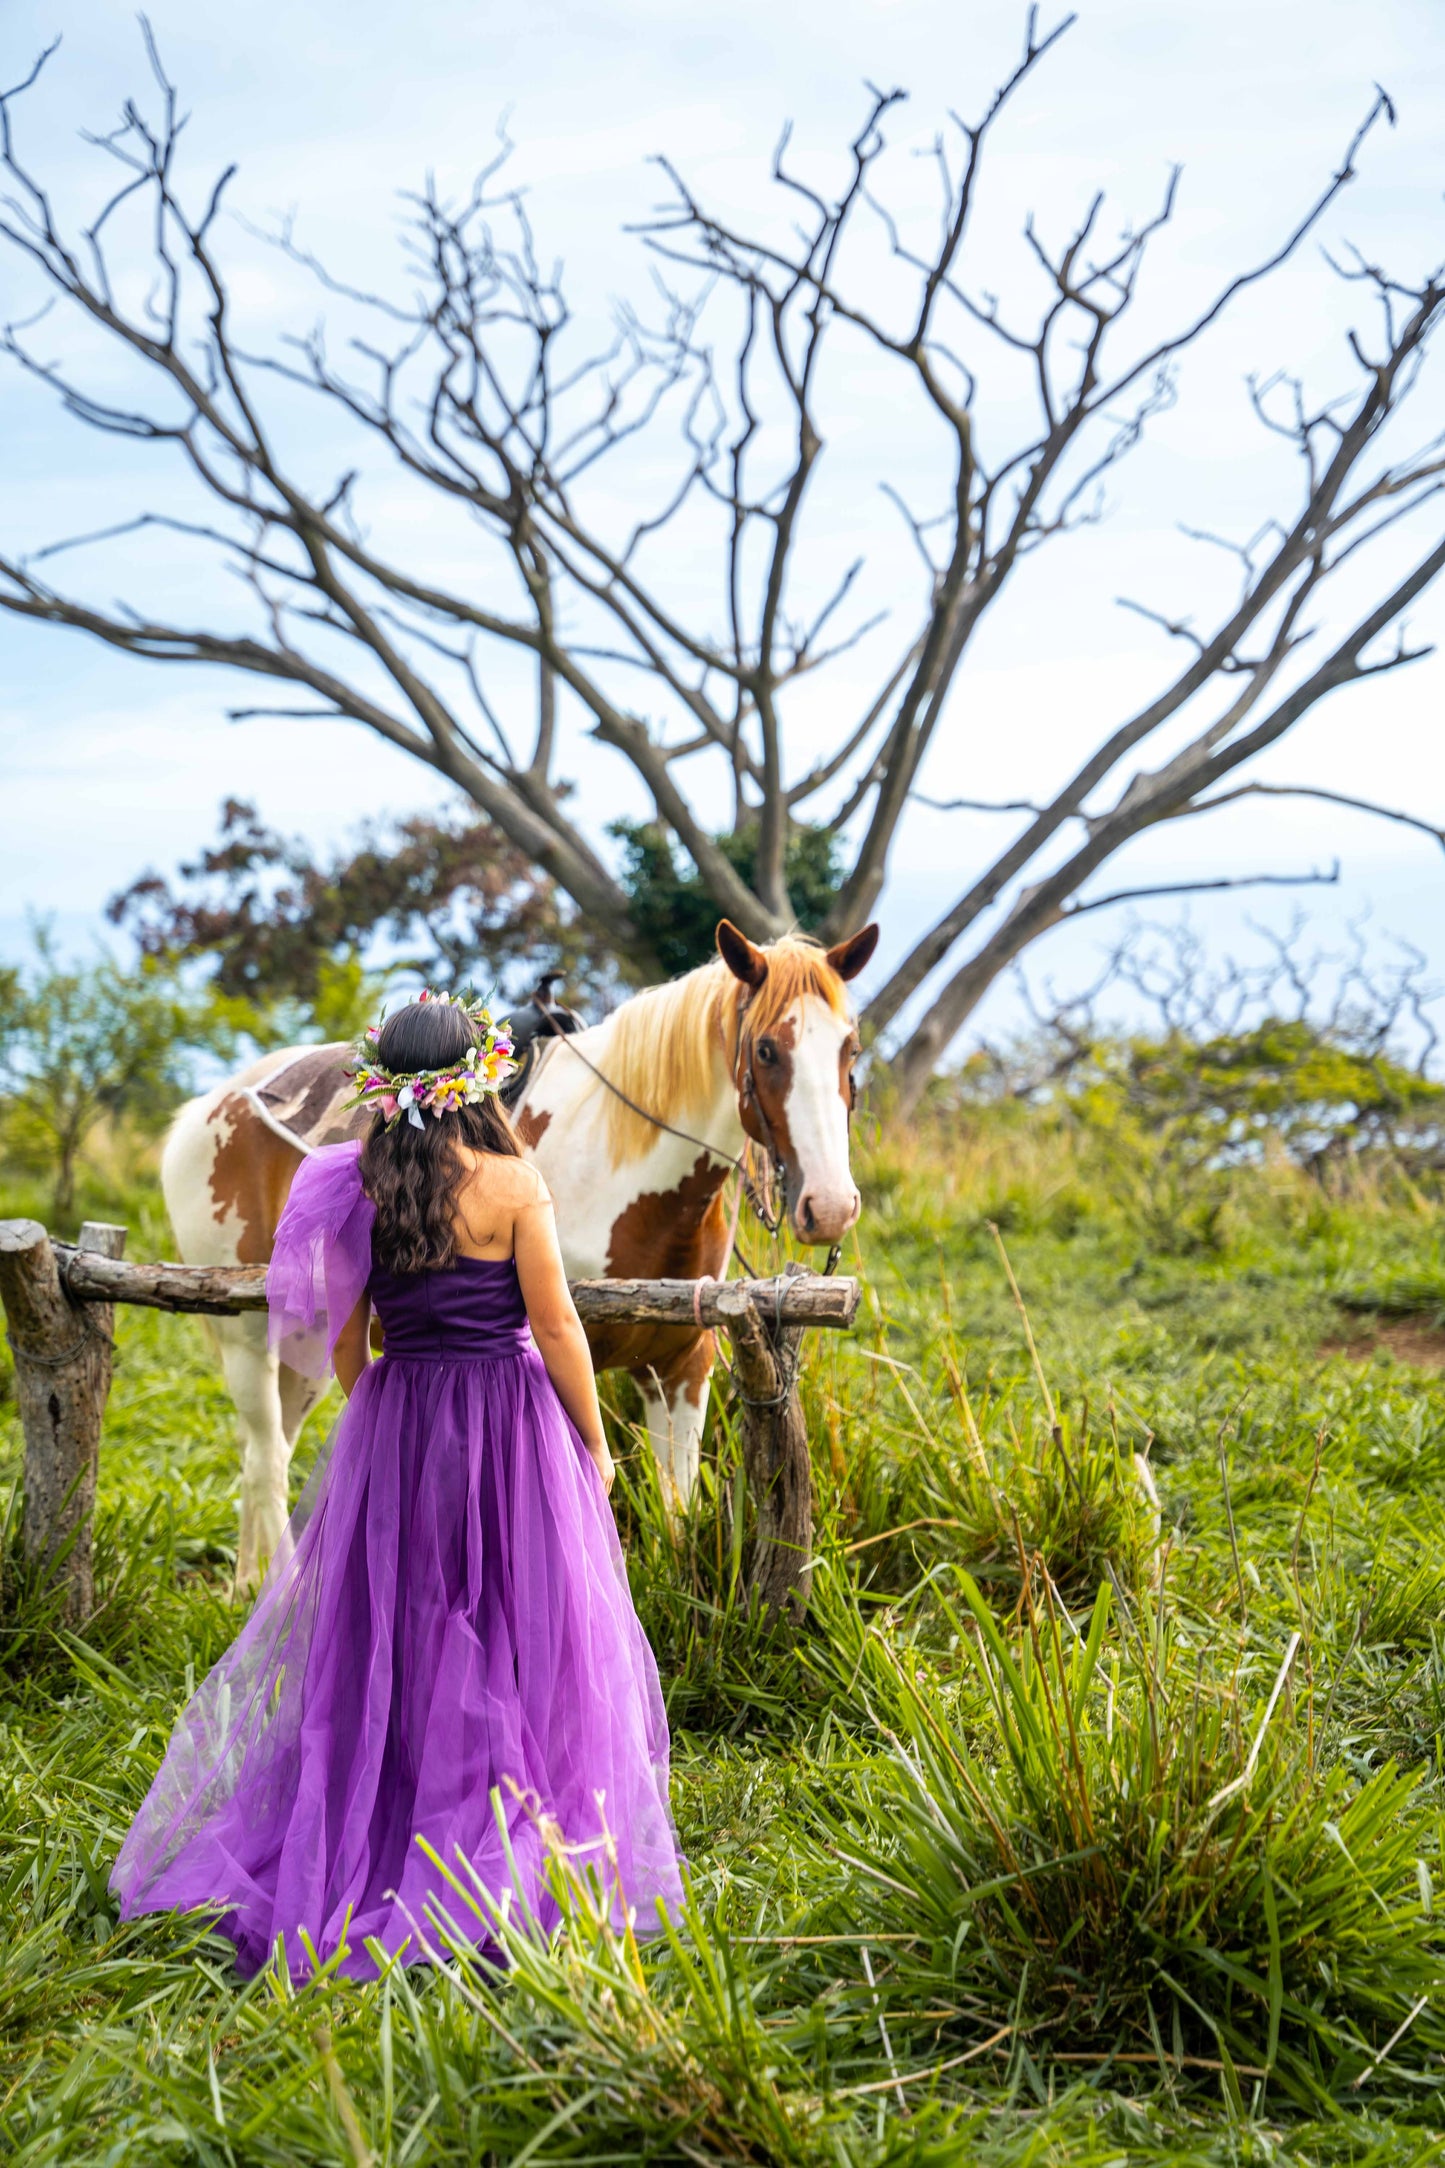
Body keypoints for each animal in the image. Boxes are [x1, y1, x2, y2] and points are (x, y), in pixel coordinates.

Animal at [162, 914, 875, 1578]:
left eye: (851, 1049)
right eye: (767, 1050)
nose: (830, 1207)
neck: (620, 1167)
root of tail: (204, 1108)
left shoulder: (680, 1367)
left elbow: (677, 1515)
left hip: (309, 1344)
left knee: (271, 1449)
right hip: (247, 1337)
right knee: (265, 1461)